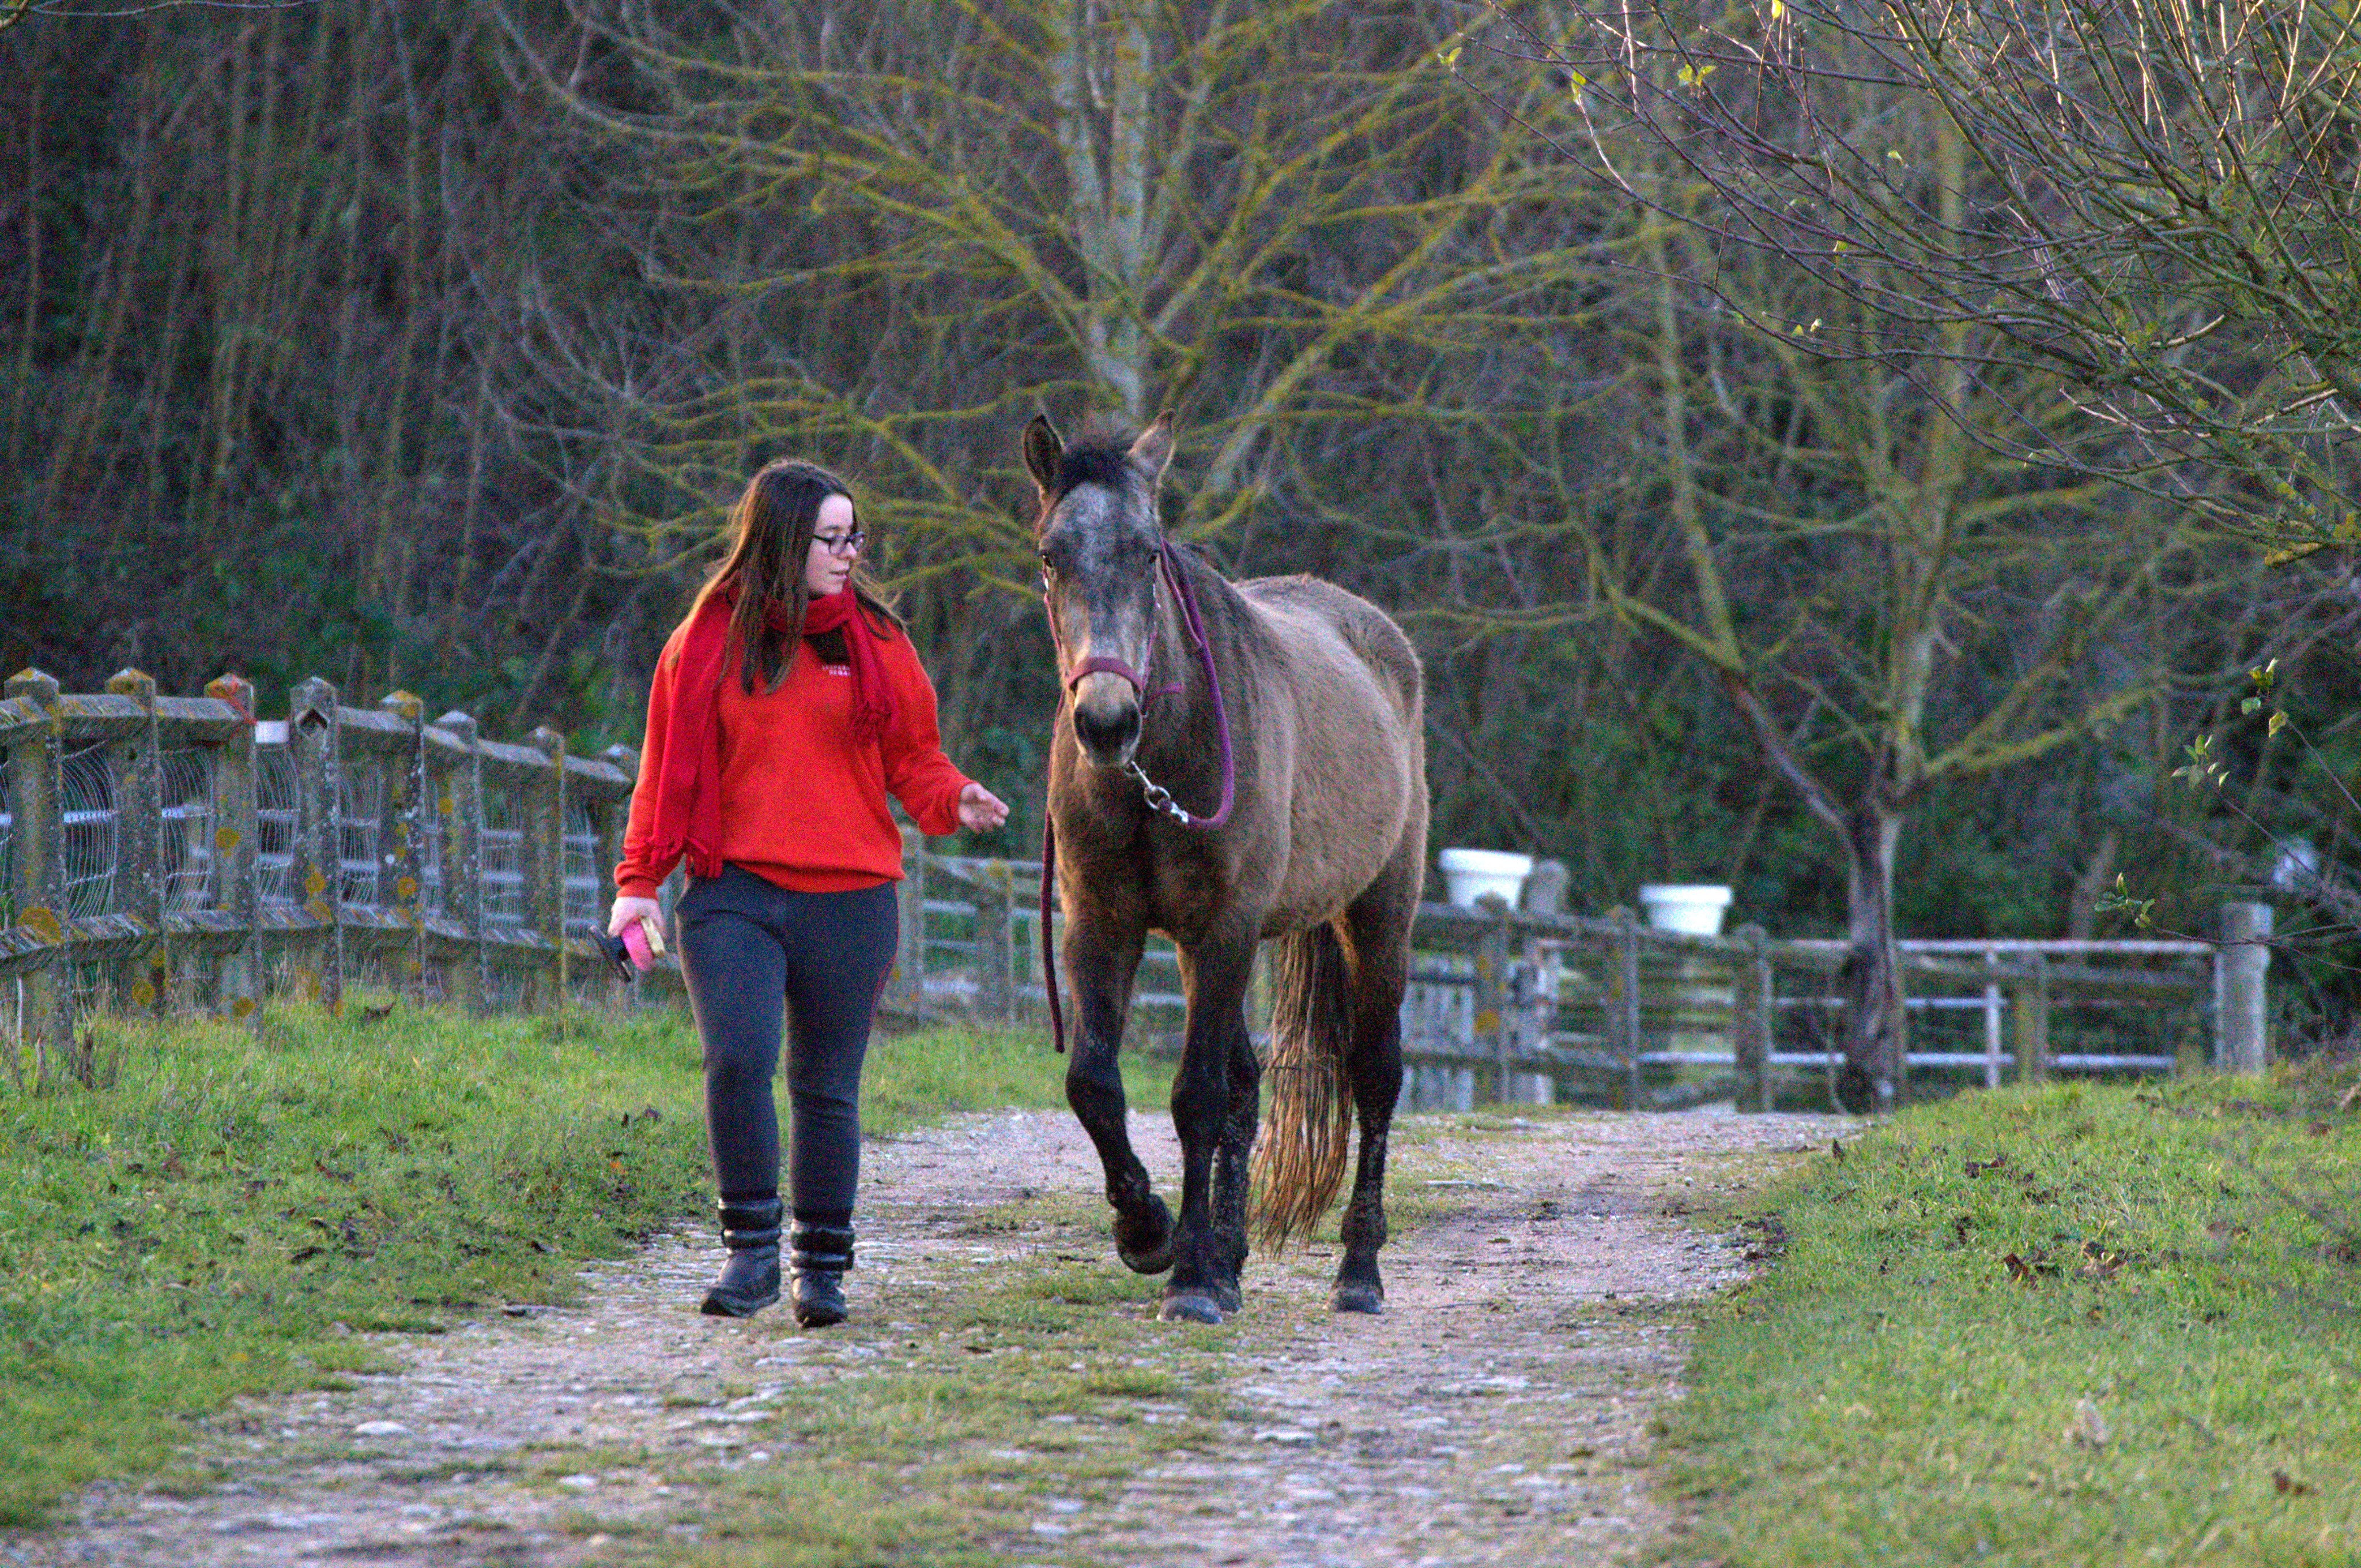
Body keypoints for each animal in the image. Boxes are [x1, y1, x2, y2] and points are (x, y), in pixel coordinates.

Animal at [1025, 411, 1429, 1325]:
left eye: (1147, 552)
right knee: (1248, 1090)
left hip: (1376, 919)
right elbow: (1095, 1083)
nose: (1107, 722)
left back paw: (1358, 1269)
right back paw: (1230, 1256)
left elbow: (1197, 1097)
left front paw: (1188, 1279)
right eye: (1051, 556)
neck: (1158, 769)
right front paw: (1151, 1231)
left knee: (1373, 1079)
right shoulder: (1102, 924)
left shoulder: (1225, 931)